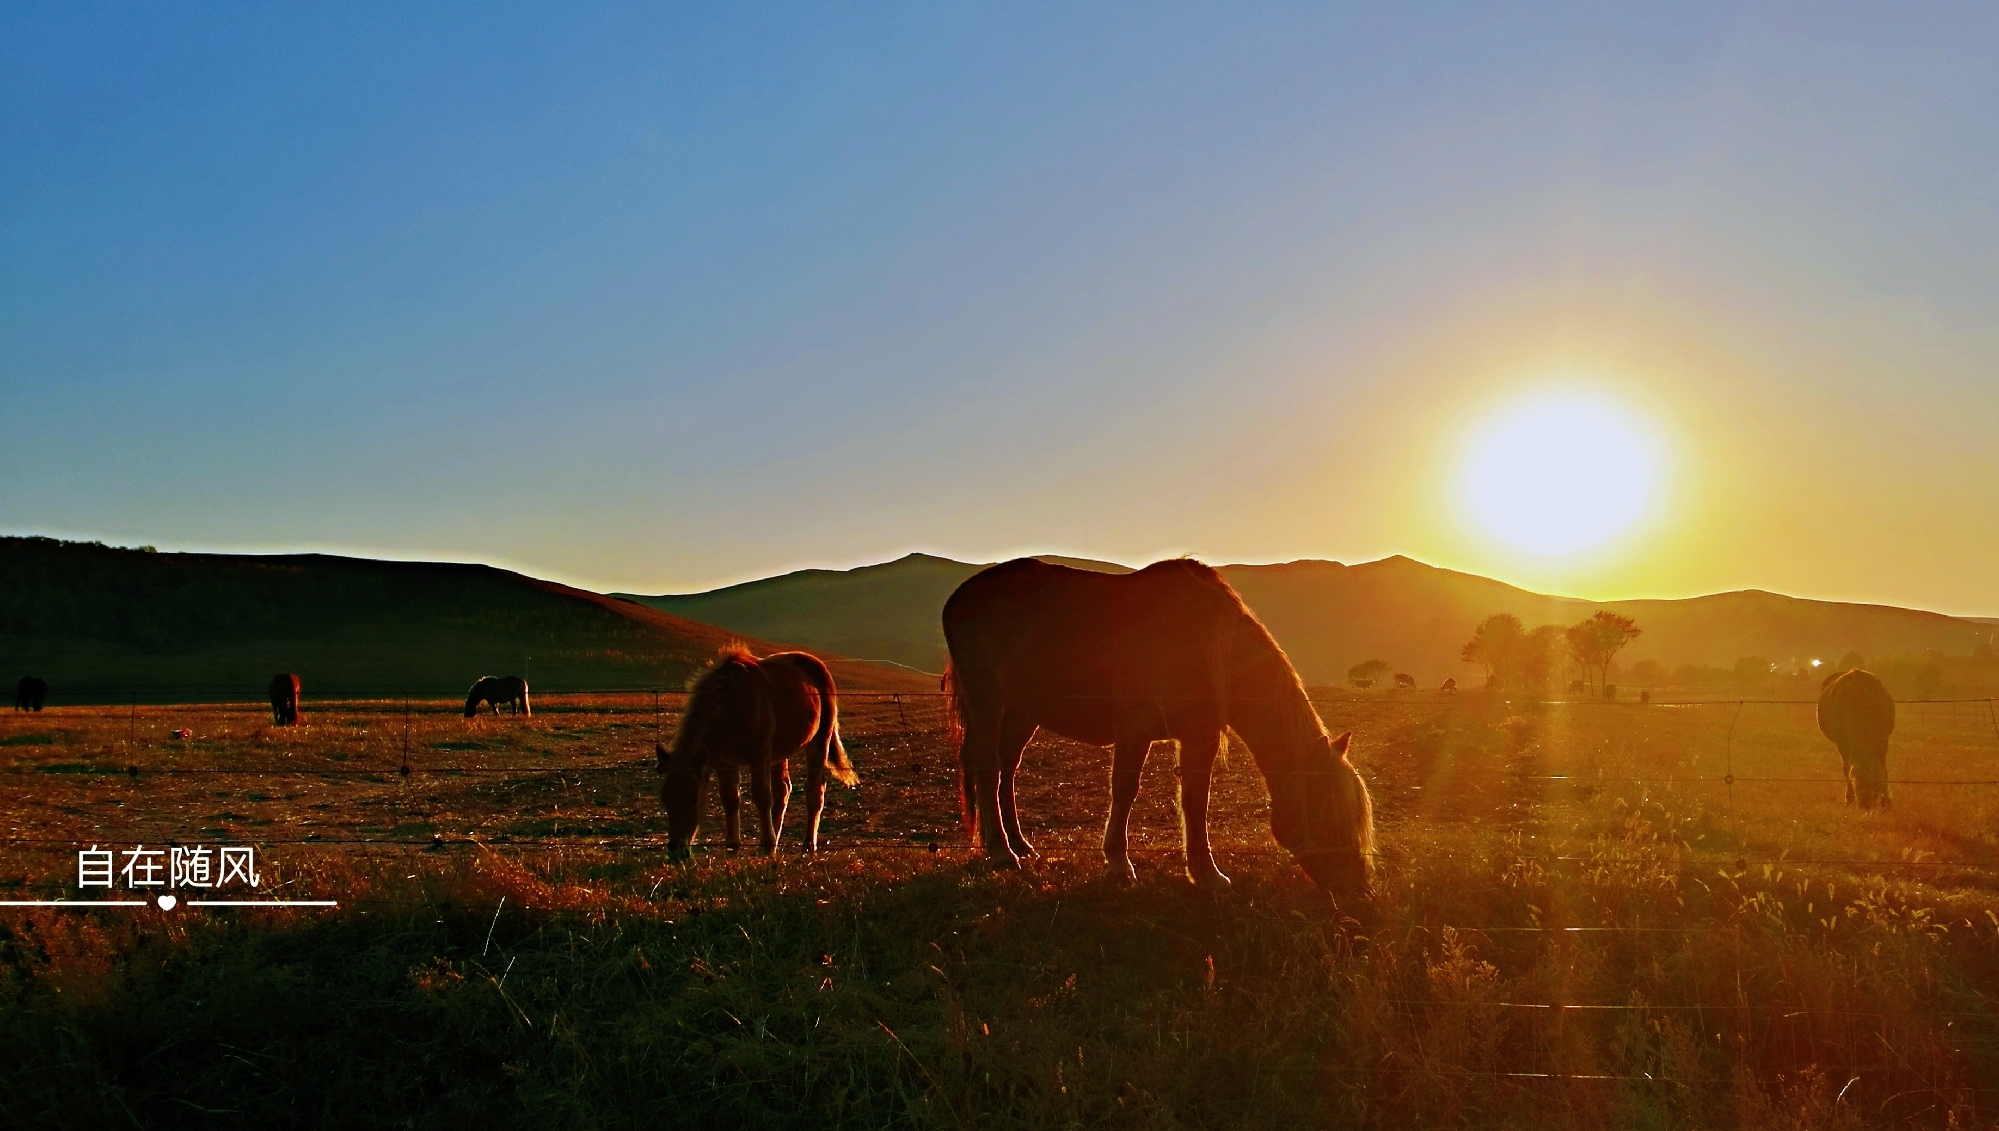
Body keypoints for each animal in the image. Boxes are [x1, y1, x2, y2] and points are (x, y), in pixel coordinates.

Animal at [659, 651, 855, 855]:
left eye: (694, 800)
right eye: (665, 800)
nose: (676, 851)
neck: (733, 704)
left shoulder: (759, 755)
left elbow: (762, 797)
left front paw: (767, 845)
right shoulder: (724, 761)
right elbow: (730, 799)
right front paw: (733, 848)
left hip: (819, 741)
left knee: (814, 790)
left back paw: (807, 845)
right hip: (779, 754)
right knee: (783, 791)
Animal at [943, 559, 1367, 903]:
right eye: (1328, 812)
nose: (1359, 889)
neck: (1206, 642)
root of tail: (959, 597)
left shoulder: (1199, 736)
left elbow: (1196, 800)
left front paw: (1206, 873)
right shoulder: (1134, 729)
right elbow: (1125, 791)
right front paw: (1118, 864)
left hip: (1021, 711)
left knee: (1006, 769)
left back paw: (1019, 844)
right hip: (986, 700)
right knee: (987, 769)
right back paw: (1001, 852)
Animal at [1823, 671, 1895, 811]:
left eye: (1873, 784)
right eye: (1856, 784)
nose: (1864, 806)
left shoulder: (1883, 739)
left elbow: (1884, 770)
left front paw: (1886, 801)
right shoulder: (1841, 742)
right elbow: (1846, 769)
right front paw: (1848, 798)